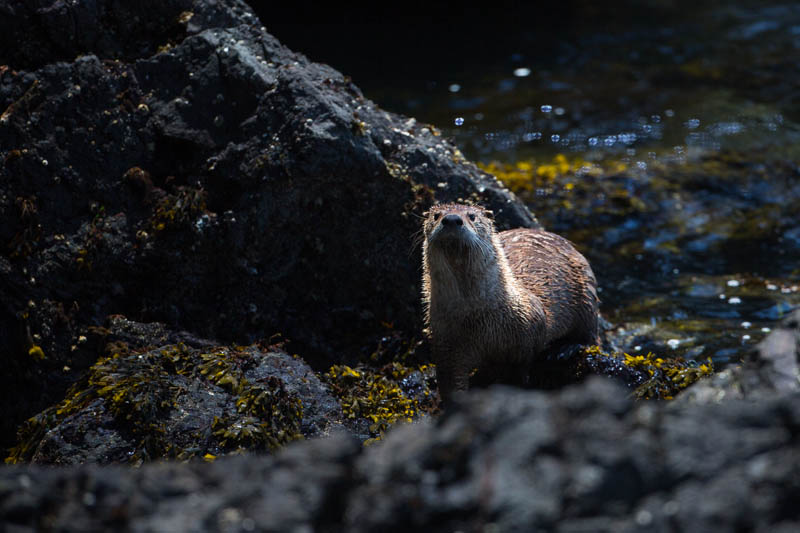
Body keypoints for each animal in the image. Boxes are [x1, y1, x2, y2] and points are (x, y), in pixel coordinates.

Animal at [422, 203, 596, 400]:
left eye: (472, 216)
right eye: (436, 215)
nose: (451, 219)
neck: (478, 319)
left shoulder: (528, 332)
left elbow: (521, 367)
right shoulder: (445, 341)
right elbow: (450, 381)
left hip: (586, 290)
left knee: (591, 334)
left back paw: (565, 349)